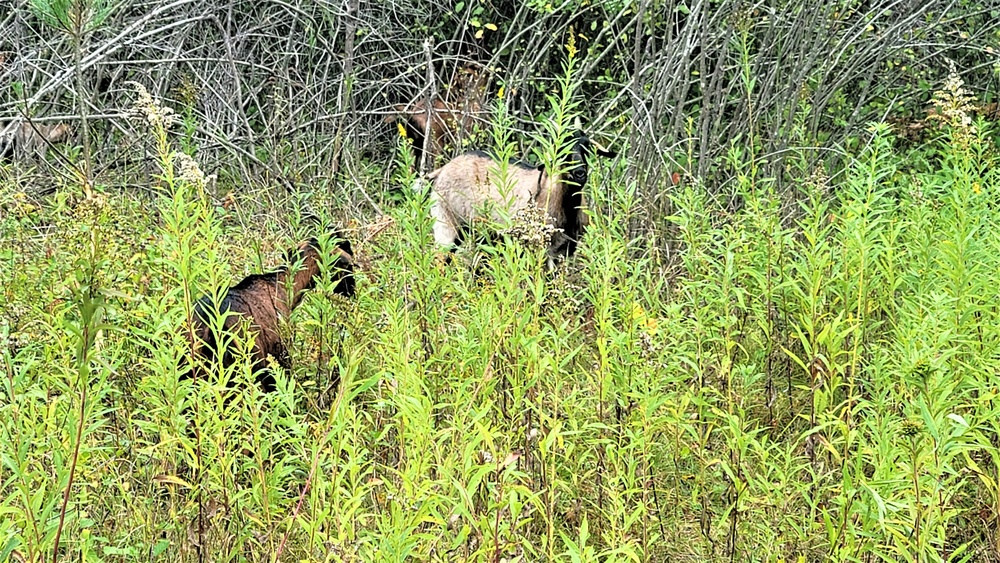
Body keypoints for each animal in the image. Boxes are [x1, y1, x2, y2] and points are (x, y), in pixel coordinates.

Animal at [424, 131, 612, 262]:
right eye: (562, 151)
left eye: (587, 149)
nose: (579, 173)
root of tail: (442, 170)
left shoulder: (561, 252)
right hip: (445, 222)